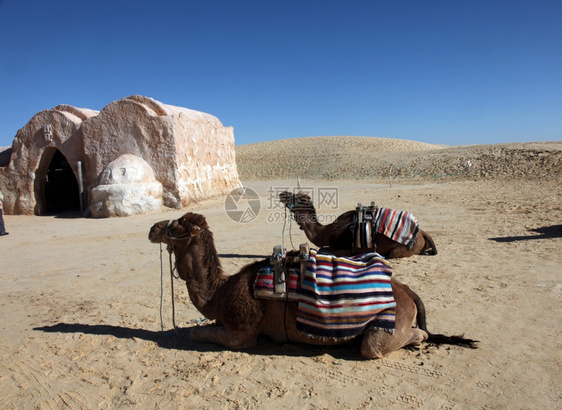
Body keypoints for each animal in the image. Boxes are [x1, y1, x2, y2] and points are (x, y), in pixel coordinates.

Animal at [148, 211, 472, 358]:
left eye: (177, 223)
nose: (153, 228)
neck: (220, 293)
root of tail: (408, 292)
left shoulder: (242, 332)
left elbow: (195, 334)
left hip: (386, 329)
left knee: (388, 342)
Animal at [280, 191, 438, 258]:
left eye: (298, 198)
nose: (282, 193)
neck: (326, 232)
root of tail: (421, 232)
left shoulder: (342, 249)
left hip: (403, 248)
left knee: (393, 253)